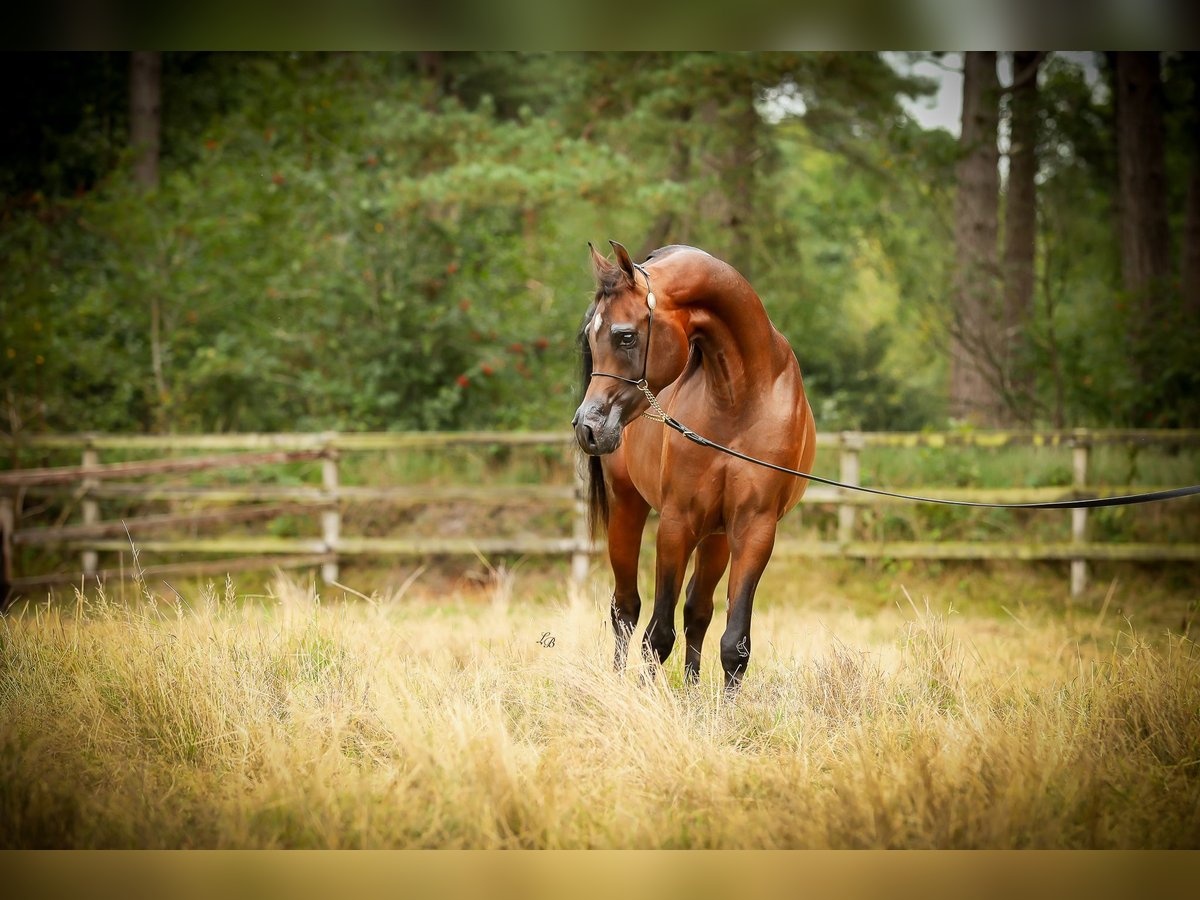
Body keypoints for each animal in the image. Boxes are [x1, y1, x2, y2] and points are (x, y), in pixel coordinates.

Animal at [571, 237, 816, 691]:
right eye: (590, 338)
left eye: (626, 336)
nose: (588, 427)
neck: (740, 397)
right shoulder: (676, 522)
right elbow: (657, 635)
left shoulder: (754, 528)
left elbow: (734, 643)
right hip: (629, 507)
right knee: (625, 608)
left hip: (717, 536)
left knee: (697, 610)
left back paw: (692, 691)